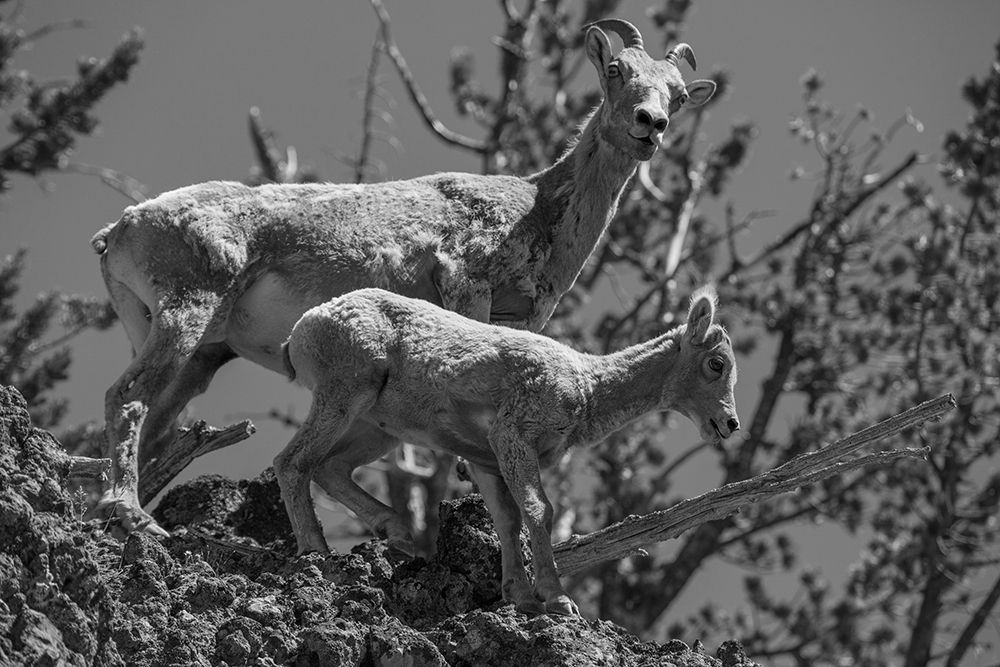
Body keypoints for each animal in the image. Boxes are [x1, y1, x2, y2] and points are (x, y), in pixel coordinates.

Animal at [89, 18, 717, 534]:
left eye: (680, 95)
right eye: (616, 70)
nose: (651, 125)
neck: (539, 208)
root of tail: (122, 228)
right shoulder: (466, 285)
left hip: (196, 351)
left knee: (157, 423)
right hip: (186, 311)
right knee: (127, 396)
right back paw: (131, 515)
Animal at [277, 286, 739, 616]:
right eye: (716, 364)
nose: (730, 424)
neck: (587, 389)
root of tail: (302, 328)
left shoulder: (487, 460)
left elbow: (507, 521)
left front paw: (520, 596)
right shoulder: (513, 436)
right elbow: (538, 510)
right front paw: (557, 600)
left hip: (375, 427)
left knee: (330, 468)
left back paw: (400, 535)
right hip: (346, 392)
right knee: (293, 462)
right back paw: (316, 549)